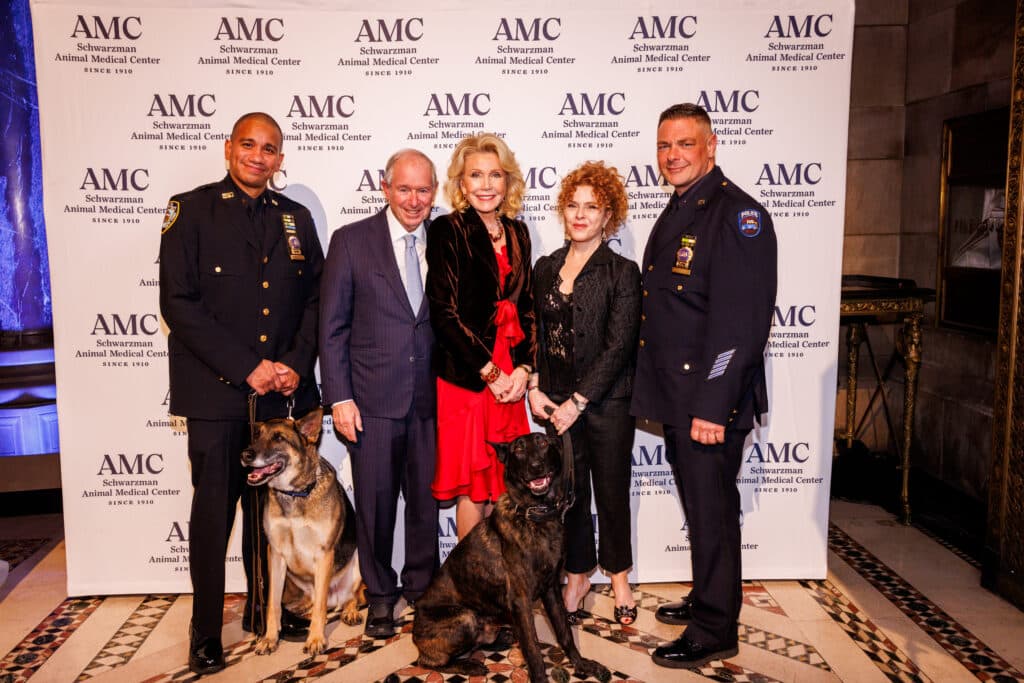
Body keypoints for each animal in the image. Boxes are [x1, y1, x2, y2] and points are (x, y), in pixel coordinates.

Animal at [241, 409, 366, 655]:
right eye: (257, 434)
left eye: (279, 438)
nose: (245, 455)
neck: (295, 494)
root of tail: (335, 600)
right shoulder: (275, 554)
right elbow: (272, 605)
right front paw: (269, 638)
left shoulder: (324, 553)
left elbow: (320, 608)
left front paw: (316, 639)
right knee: (307, 604)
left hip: (357, 562)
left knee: (346, 598)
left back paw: (349, 611)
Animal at [411, 432, 610, 683]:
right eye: (518, 450)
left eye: (543, 443)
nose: (535, 467)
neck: (535, 516)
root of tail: (414, 634)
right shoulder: (520, 602)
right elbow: (533, 649)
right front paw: (540, 678)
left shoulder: (552, 591)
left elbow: (564, 632)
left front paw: (582, 664)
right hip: (464, 618)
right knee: (429, 662)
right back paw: (468, 665)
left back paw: (501, 638)